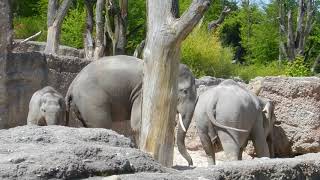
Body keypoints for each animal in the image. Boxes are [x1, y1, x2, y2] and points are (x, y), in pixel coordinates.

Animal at [65, 55, 196, 166]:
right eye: (184, 91)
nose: (190, 164)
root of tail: (71, 86)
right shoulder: (141, 92)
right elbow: (137, 124)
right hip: (92, 101)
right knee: (102, 125)